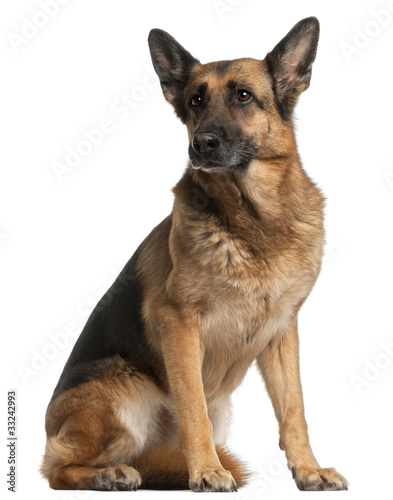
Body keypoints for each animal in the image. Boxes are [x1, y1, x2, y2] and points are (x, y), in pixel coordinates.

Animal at [40, 16, 346, 492]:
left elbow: (294, 409)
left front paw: (308, 468)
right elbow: (192, 409)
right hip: (127, 390)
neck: (254, 220)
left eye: (244, 96)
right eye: (195, 101)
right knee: (56, 469)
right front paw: (206, 470)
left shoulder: (282, 332)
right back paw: (111, 473)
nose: (201, 144)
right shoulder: (179, 324)